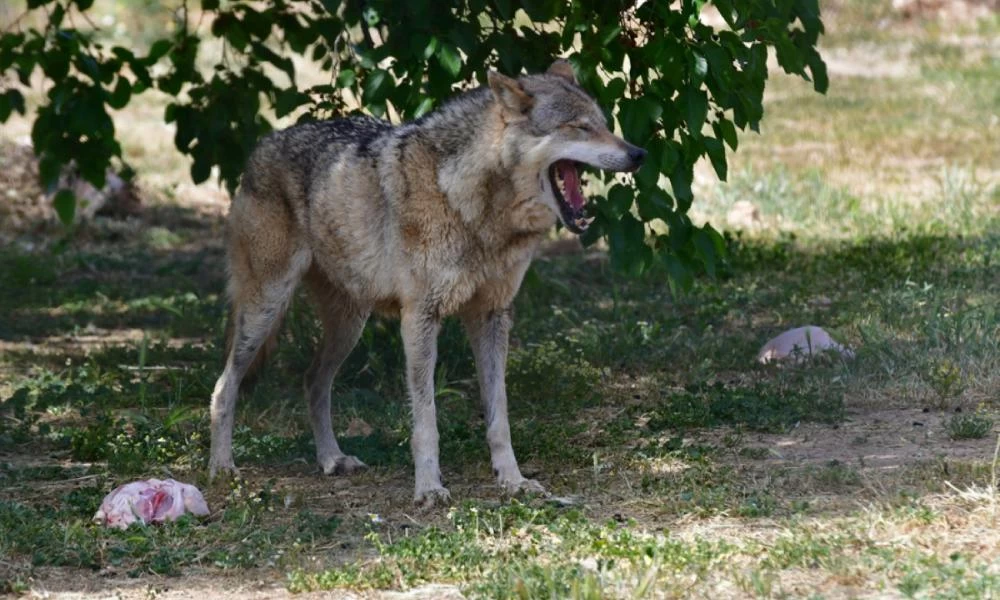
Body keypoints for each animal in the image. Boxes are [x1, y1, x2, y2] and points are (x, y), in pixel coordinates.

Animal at [211, 61, 648, 506]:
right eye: (578, 127)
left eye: (605, 125)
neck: (474, 207)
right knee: (224, 386)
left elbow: (499, 417)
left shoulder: (492, 316)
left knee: (313, 381)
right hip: (266, 311)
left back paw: (332, 460)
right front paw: (429, 487)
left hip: (349, 325)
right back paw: (222, 468)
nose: (639, 154)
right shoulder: (420, 317)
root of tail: (263, 143)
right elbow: (426, 420)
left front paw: (513, 480)